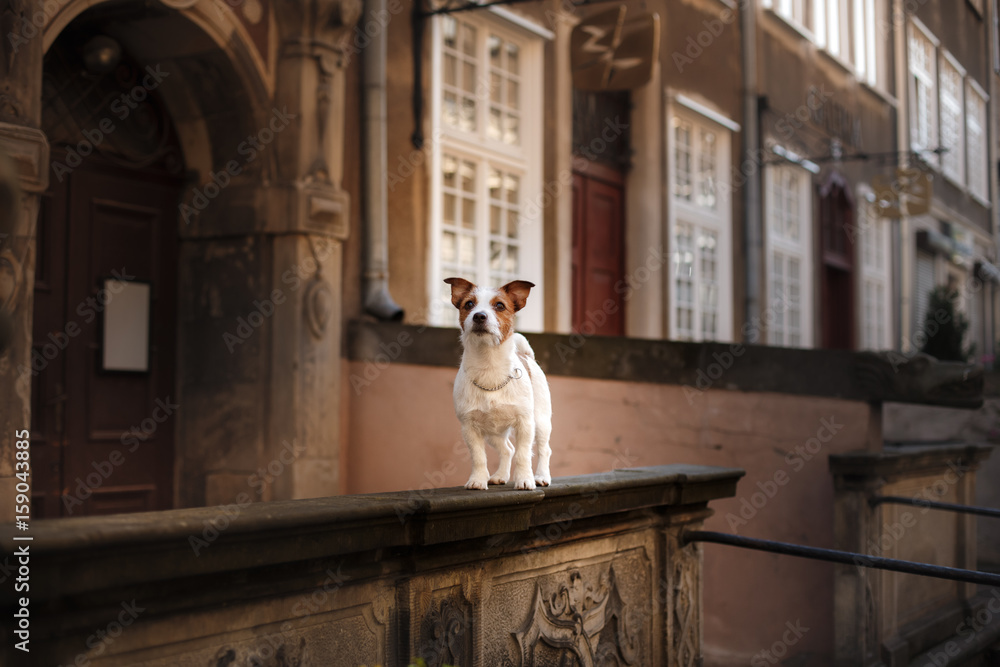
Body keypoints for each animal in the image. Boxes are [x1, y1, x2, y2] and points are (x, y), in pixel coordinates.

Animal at [446, 276, 556, 490]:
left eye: (500, 306)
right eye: (469, 304)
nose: (479, 316)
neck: (489, 366)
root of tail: (526, 355)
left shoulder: (525, 424)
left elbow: (523, 455)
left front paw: (525, 479)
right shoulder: (470, 428)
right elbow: (478, 457)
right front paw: (477, 480)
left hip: (541, 422)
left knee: (544, 450)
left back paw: (541, 476)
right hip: (493, 433)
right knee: (507, 449)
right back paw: (500, 475)